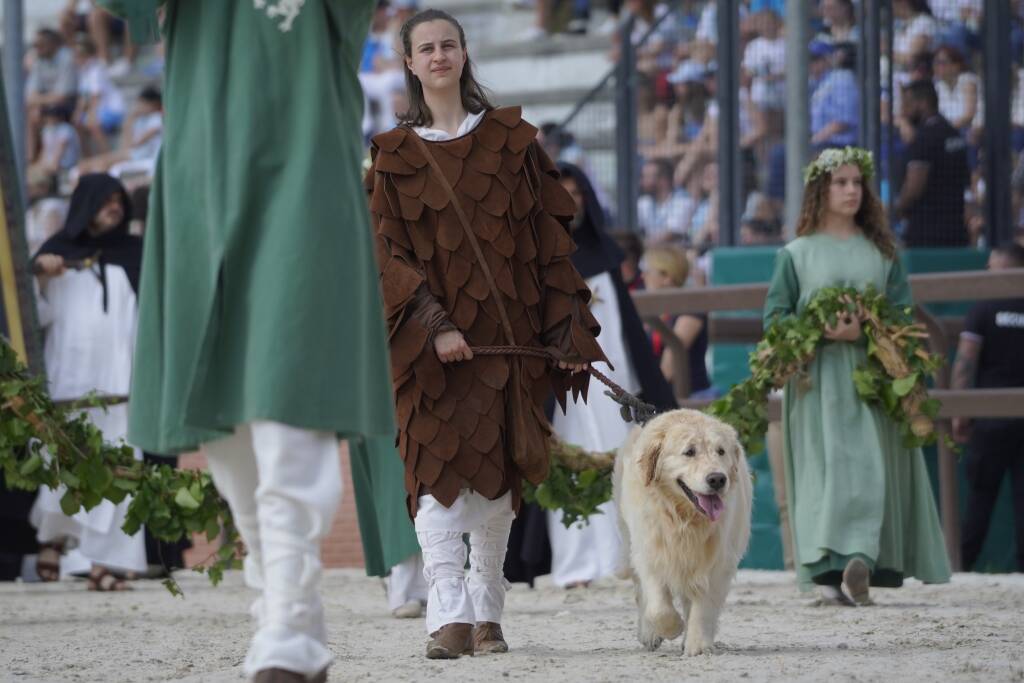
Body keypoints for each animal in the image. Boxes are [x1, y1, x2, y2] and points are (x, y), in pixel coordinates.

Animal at [614, 409, 753, 655]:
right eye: (689, 452)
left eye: (721, 451)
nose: (717, 479)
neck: (684, 518)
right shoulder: (650, 552)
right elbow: (658, 607)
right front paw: (671, 628)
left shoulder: (717, 562)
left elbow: (703, 606)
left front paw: (697, 644)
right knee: (641, 592)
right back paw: (649, 633)